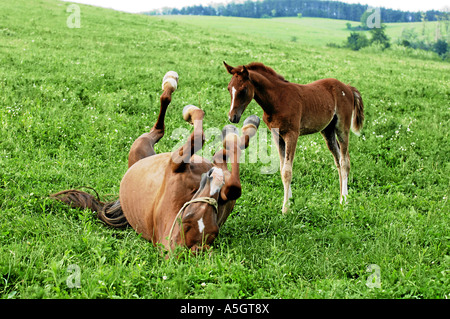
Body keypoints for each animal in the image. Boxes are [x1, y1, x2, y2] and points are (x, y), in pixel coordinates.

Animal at [52, 71, 260, 254]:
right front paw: (232, 129)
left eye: (213, 230)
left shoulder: (184, 167)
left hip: (141, 144)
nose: (214, 178)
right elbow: (217, 152)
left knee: (161, 128)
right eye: (187, 219)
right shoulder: (181, 164)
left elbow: (226, 173)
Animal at [223, 61, 364, 214]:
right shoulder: (277, 135)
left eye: (243, 90)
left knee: (344, 161)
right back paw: (341, 198)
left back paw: (344, 202)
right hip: (328, 131)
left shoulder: (292, 134)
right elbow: (282, 168)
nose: (232, 117)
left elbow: (287, 171)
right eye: (229, 88)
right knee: (338, 160)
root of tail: (348, 88)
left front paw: (285, 209)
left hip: (342, 127)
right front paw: (289, 202)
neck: (277, 100)